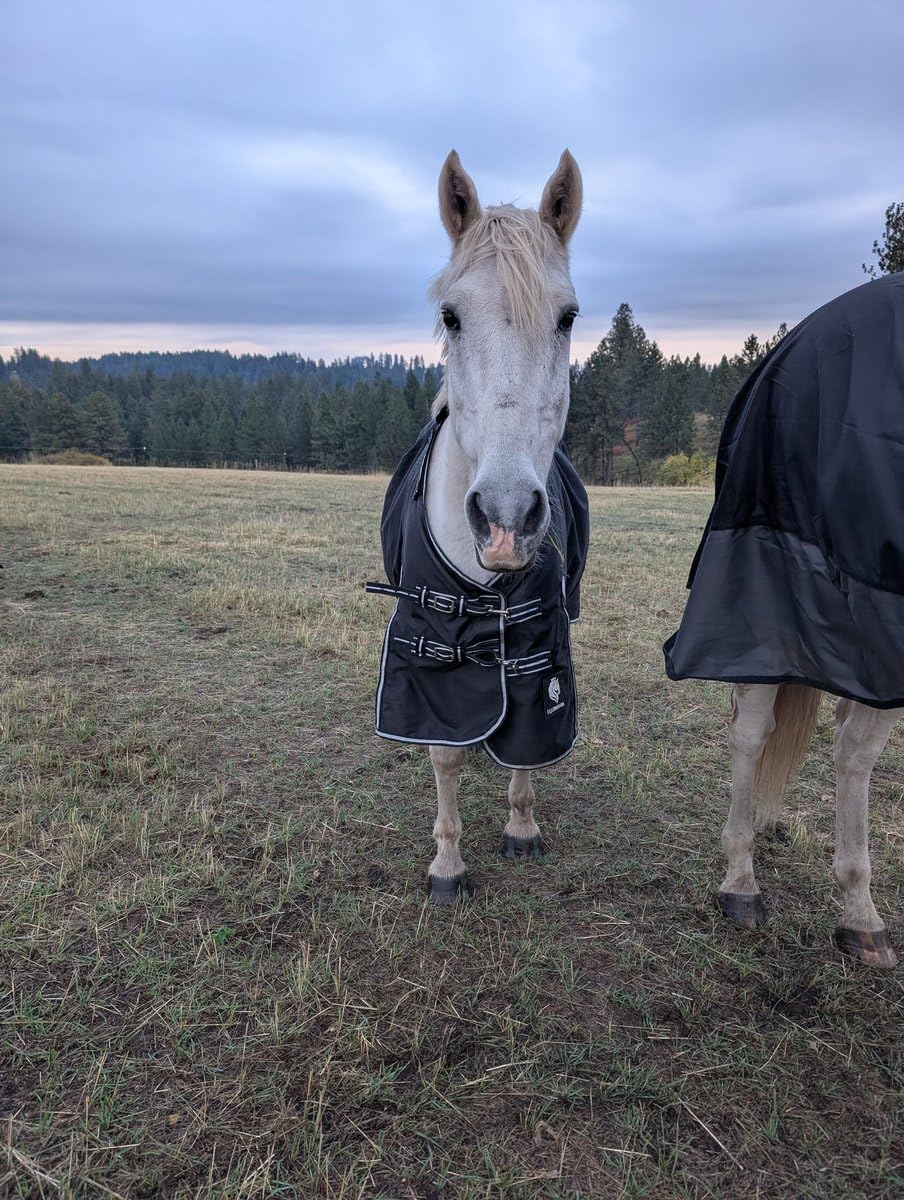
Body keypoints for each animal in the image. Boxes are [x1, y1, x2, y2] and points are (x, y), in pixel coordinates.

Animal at [367, 150, 587, 902]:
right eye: (451, 316)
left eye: (567, 317)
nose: (506, 518)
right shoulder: (429, 659)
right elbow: (445, 758)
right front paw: (448, 864)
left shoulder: (540, 648)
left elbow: (527, 743)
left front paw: (521, 827)